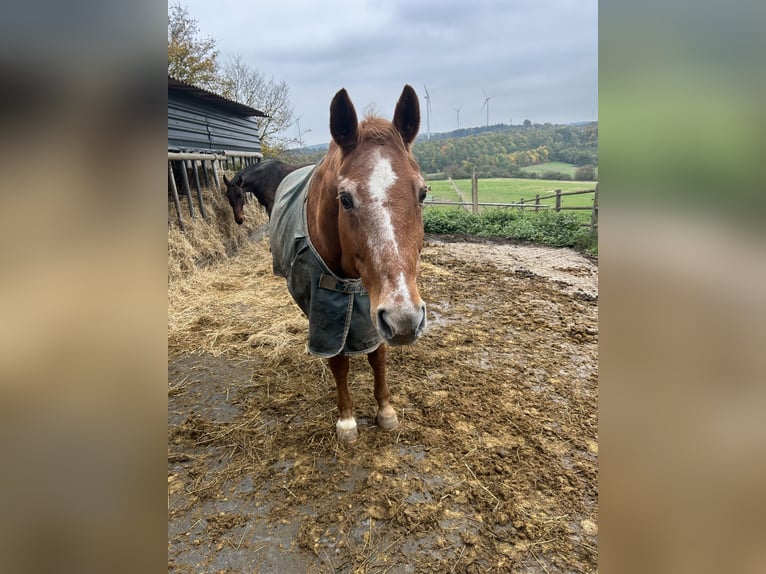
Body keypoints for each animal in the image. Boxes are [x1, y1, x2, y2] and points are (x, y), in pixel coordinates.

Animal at [269, 85, 428, 443]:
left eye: (423, 193)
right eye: (345, 199)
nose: (405, 319)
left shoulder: (373, 307)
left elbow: (377, 356)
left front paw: (385, 410)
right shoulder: (328, 312)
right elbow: (339, 361)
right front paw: (346, 420)